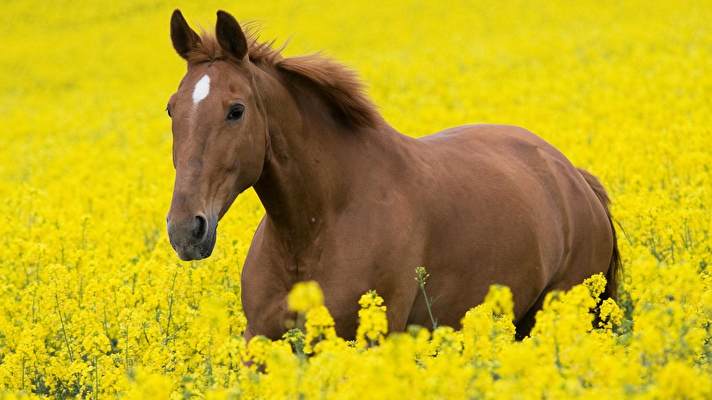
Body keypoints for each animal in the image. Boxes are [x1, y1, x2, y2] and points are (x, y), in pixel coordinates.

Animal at [165, 9, 616, 340]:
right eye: (172, 108)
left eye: (236, 110)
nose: (186, 230)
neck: (315, 229)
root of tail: (573, 177)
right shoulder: (260, 340)